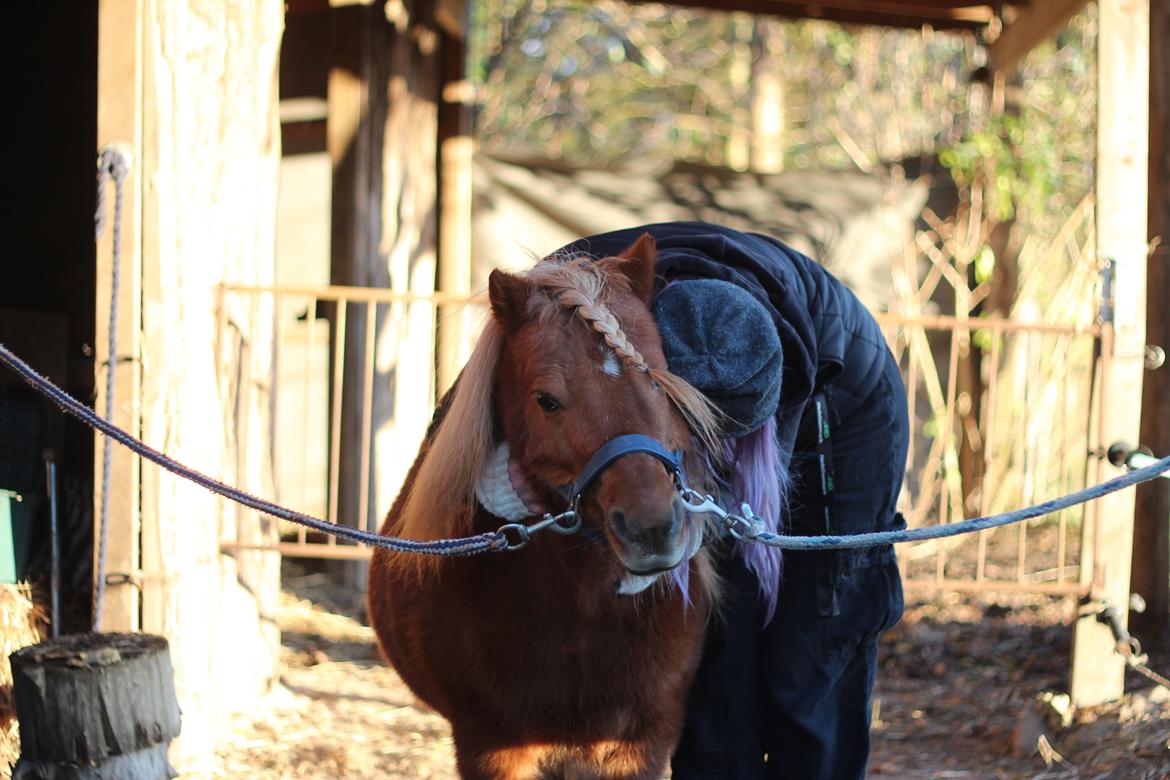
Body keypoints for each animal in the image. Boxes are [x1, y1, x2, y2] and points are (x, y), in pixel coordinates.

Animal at [369, 235, 725, 776]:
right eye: (547, 400)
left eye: (658, 380)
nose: (652, 529)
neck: (583, 613)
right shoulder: (492, 748)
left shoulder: (642, 745)